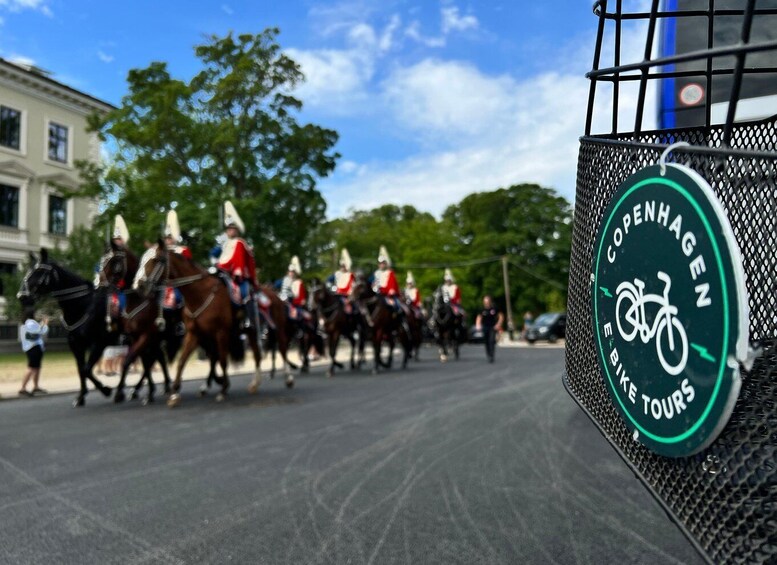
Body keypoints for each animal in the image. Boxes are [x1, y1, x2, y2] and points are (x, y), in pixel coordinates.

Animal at [15, 250, 112, 406]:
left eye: (39, 271)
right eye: (28, 271)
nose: (21, 296)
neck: (83, 306)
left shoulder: (99, 343)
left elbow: (86, 370)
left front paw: (105, 390)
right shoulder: (76, 344)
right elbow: (81, 369)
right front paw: (81, 396)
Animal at [96, 240, 181, 404]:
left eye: (114, 262)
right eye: (102, 261)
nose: (100, 288)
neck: (137, 299)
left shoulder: (146, 336)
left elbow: (130, 361)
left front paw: (121, 392)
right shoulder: (135, 337)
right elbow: (143, 362)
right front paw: (147, 391)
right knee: (158, 359)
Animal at [133, 241, 264, 406]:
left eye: (156, 260)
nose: (139, 286)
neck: (198, 293)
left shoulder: (221, 332)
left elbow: (223, 360)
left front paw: (223, 390)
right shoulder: (193, 334)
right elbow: (182, 361)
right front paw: (174, 394)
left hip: (250, 331)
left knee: (256, 355)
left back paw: (254, 383)